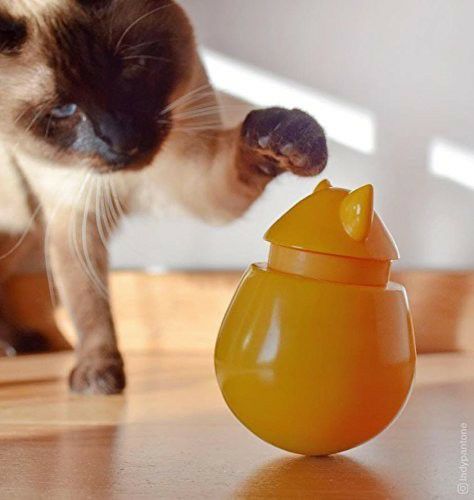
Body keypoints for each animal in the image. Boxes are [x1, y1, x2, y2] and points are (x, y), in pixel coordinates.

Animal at [0, 0, 328, 394]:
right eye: (64, 110)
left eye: (133, 67)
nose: (121, 140)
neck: (133, 179)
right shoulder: (74, 217)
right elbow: (87, 302)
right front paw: (98, 374)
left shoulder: (197, 180)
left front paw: (288, 137)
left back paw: (18, 345)